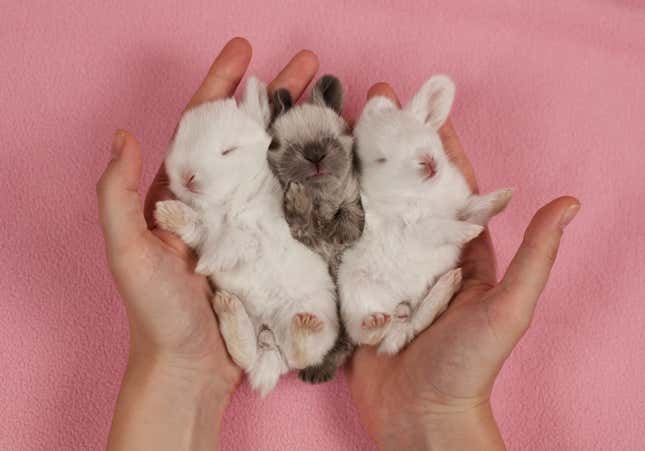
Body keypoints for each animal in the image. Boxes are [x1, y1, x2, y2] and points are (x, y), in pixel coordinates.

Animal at [154, 77, 340, 396]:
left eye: (228, 151)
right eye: (178, 141)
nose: (187, 176)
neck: (228, 202)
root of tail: (269, 332)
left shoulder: (258, 228)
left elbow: (236, 240)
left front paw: (207, 264)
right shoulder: (205, 230)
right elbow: (195, 226)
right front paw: (167, 212)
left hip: (315, 312)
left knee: (301, 355)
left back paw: (304, 327)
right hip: (257, 329)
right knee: (247, 354)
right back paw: (229, 310)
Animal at [266, 75, 362, 384]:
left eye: (328, 140)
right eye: (292, 147)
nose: (316, 156)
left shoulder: (353, 201)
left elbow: (348, 219)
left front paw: (335, 229)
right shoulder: (304, 237)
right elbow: (303, 221)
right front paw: (299, 200)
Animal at [338, 75, 512, 356]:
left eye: (419, 131)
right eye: (381, 159)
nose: (427, 161)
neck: (426, 194)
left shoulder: (460, 206)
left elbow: (475, 211)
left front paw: (503, 197)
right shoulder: (410, 229)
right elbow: (436, 227)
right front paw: (467, 232)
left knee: (418, 322)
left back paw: (445, 288)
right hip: (357, 291)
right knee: (372, 337)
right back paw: (376, 323)